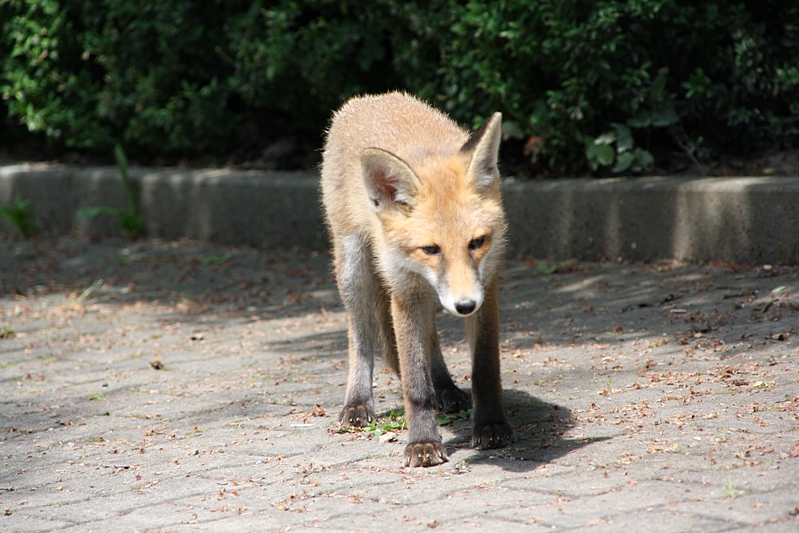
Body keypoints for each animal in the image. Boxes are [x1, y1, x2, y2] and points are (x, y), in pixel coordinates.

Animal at [320, 92, 512, 467]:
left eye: (477, 242)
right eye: (430, 249)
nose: (465, 305)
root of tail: (372, 97)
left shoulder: (486, 285)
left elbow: (485, 369)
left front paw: (491, 425)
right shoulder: (404, 295)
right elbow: (415, 382)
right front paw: (423, 441)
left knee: (432, 337)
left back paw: (446, 388)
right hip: (355, 269)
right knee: (360, 336)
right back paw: (357, 401)